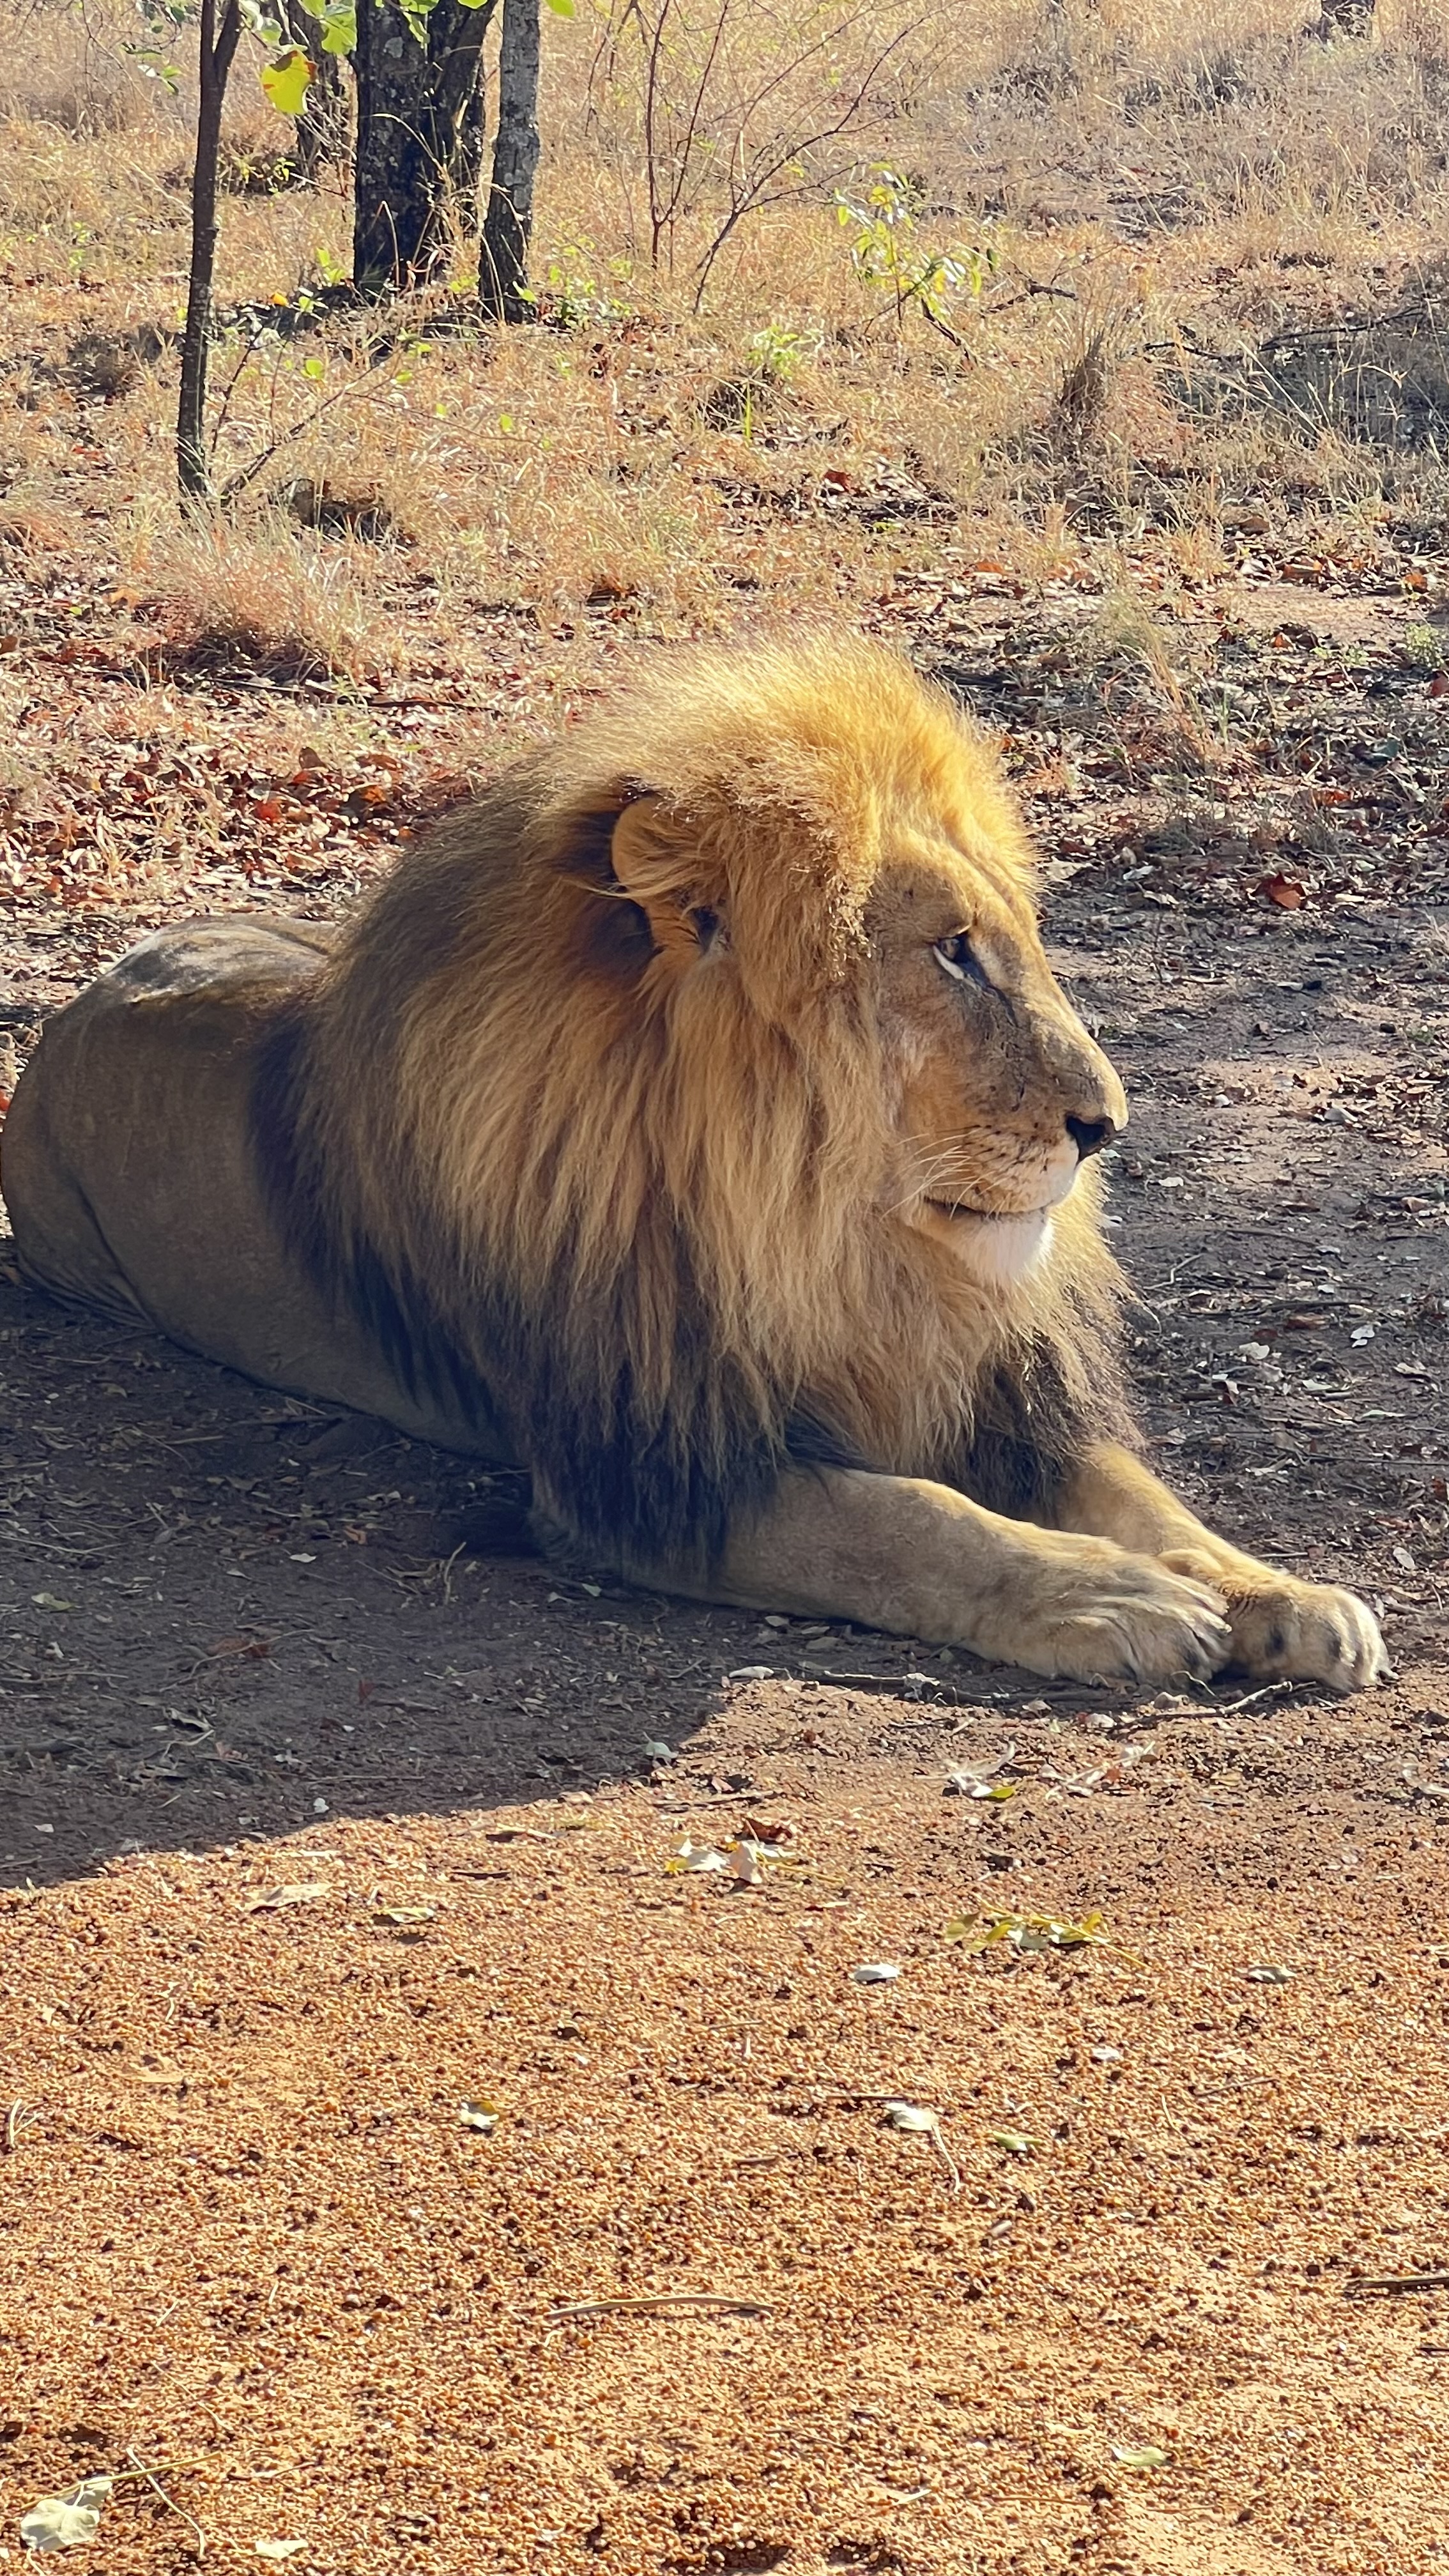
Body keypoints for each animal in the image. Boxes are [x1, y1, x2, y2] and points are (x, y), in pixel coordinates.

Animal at [0, 641, 1382, 1689]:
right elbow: (903, 1522)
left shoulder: (995, 1388)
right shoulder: (647, 1470)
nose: (1107, 1125)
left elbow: (1142, 1494)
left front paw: (1279, 1593)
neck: (827, 1236)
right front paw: (1112, 1600)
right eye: (953, 953)